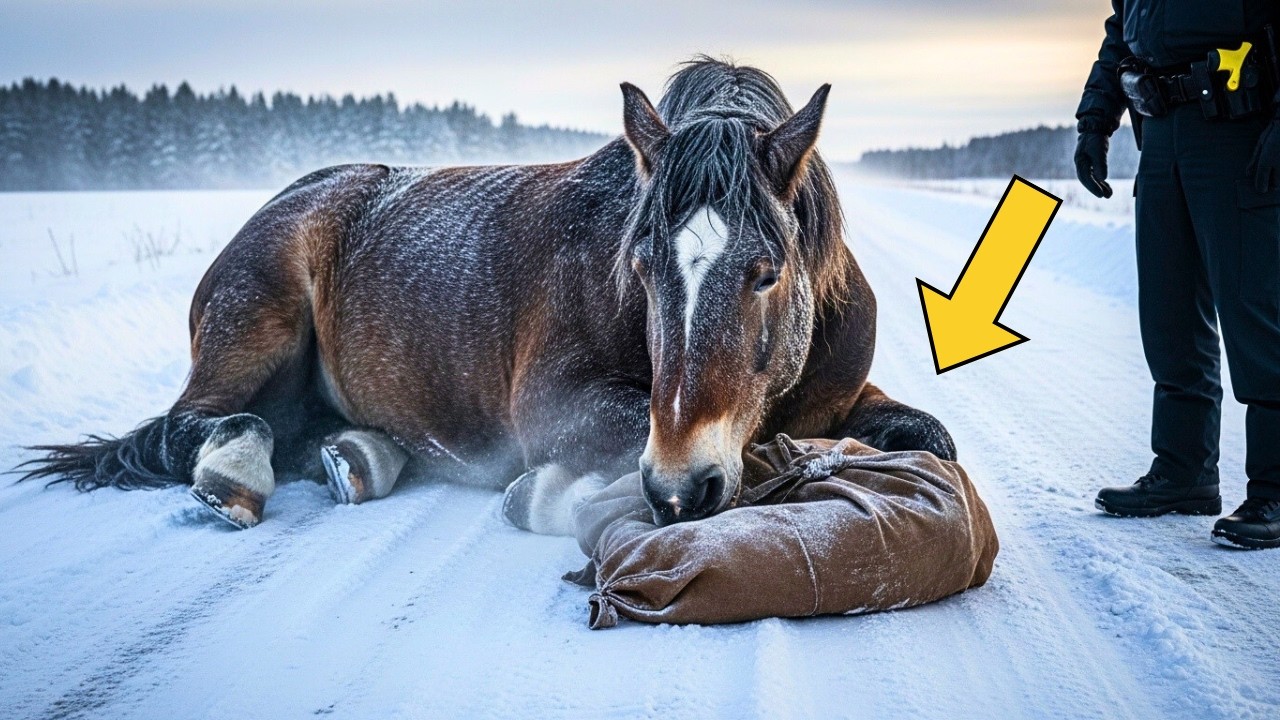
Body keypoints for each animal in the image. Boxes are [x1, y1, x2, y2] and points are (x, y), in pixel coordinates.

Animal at [19, 58, 956, 534]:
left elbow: (929, 439)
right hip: (256, 322)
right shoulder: (559, 408)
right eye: (642, 267)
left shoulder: (843, 400)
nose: (680, 488)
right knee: (201, 423)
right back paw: (236, 471)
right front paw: (552, 492)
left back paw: (360, 456)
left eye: (767, 271)